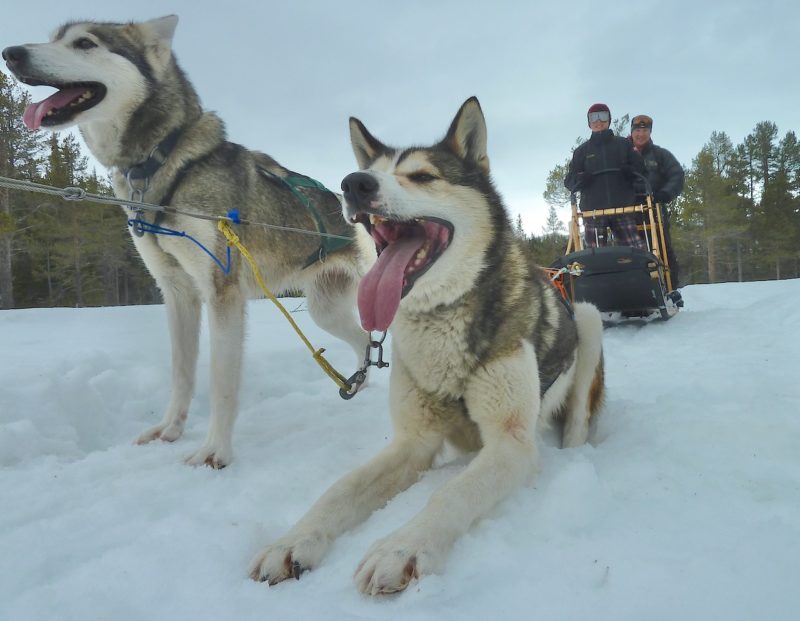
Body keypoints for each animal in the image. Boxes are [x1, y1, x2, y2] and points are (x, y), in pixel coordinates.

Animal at [3, 15, 368, 464]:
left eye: (84, 43)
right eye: (53, 38)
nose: (11, 53)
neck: (164, 161)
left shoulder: (222, 293)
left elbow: (221, 381)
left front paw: (215, 452)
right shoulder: (177, 292)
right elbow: (181, 371)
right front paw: (169, 430)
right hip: (325, 310)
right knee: (366, 340)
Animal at [250, 97, 608, 592]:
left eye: (421, 176)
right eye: (371, 172)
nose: (353, 184)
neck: (440, 323)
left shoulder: (509, 443)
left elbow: (450, 493)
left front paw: (401, 547)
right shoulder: (413, 441)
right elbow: (341, 488)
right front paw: (293, 540)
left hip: (589, 320)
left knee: (575, 422)